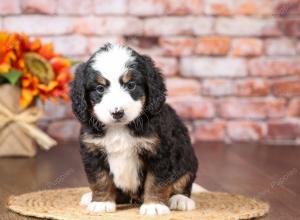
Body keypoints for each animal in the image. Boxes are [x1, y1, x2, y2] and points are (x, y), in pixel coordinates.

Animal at [70, 43, 199, 217]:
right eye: (100, 88)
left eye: (131, 85)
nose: (117, 112)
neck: (119, 128)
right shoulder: (93, 151)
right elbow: (100, 179)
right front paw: (101, 202)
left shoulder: (160, 151)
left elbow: (156, 181)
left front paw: (154, 205)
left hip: (188, 158)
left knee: (183, 181)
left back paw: (180, 199)